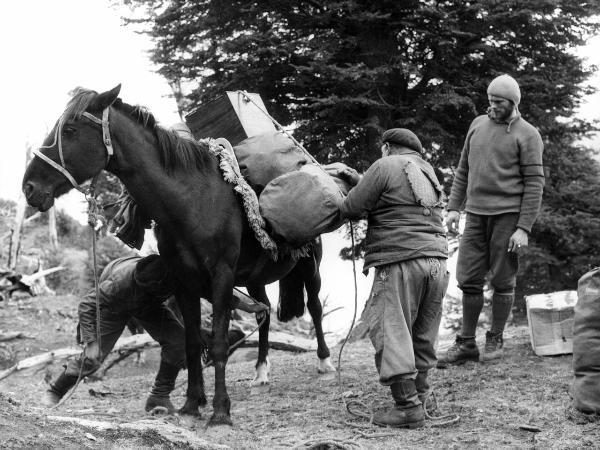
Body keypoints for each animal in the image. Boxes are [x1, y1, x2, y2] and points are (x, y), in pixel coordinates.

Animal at [21, 85, 336, 426]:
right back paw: (261, 372)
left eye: (70, 130)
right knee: (263, 313)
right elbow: (192, 342)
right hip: (255, 279)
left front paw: (220, 411)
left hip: (310, 267)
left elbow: (219, 343)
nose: (29, 187)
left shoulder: (221, 277)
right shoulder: (185, 281)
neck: (193, 200)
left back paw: (325, 363)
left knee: (315, 307)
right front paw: (191, 404)